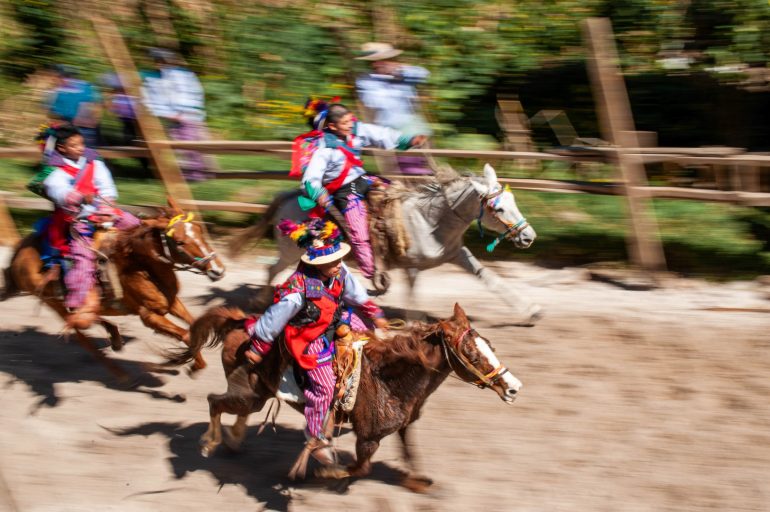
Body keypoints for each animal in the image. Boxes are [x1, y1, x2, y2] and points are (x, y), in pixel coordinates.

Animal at [2, 207, 225, 380]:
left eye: (199, 231)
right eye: (178, 242)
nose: (217, 270)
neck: (139, 265)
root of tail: (19, 253)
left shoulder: (172, 302)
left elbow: (194, 325)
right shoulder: (149, 315)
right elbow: (187, 334)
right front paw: (194, 366)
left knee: (88, 318)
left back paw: (115, 336)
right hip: (56, 304)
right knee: (82, 334)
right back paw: (121, 373)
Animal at [164, 302, 520, 490]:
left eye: (490, 344)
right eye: (473, 354)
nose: (513, 387)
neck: (390, 379)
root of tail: (241, 322)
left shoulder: (404, 426)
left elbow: (410, 455)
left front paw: (417, 481)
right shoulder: (368, 438)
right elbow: (360, 469)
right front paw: (326, 470)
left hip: (257, 394)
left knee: (236, 410)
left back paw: (234, 440)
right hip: (244, 392)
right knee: (214, 401)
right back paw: (210, 443)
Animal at [228, 164, 540, 324]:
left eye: (513, 200)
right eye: (499, 208)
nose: (529, 237)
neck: (430, 221)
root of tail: (288, 196)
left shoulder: (457, 254)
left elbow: (491, 279)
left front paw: (530, 310)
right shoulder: (412, 267)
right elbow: (412, 299)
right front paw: (413, 327)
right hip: (292, 251)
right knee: (273, 269)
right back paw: (260, 302)